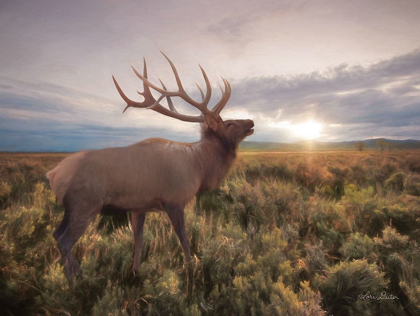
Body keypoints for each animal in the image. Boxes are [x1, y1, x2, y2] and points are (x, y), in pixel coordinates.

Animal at [47, 53, 254, 282]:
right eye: (229, 124)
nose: (251, 122)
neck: (199, 167)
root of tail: (53, 174)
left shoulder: (139, 207)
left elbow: (138, 238)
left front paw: (135, 271)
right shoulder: (174, 201)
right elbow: (184, 238)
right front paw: (191, 268)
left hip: (70, 208)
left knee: (56, 234)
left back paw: (80, 274)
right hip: (84, 204)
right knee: (64, 241)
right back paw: (74, 282)